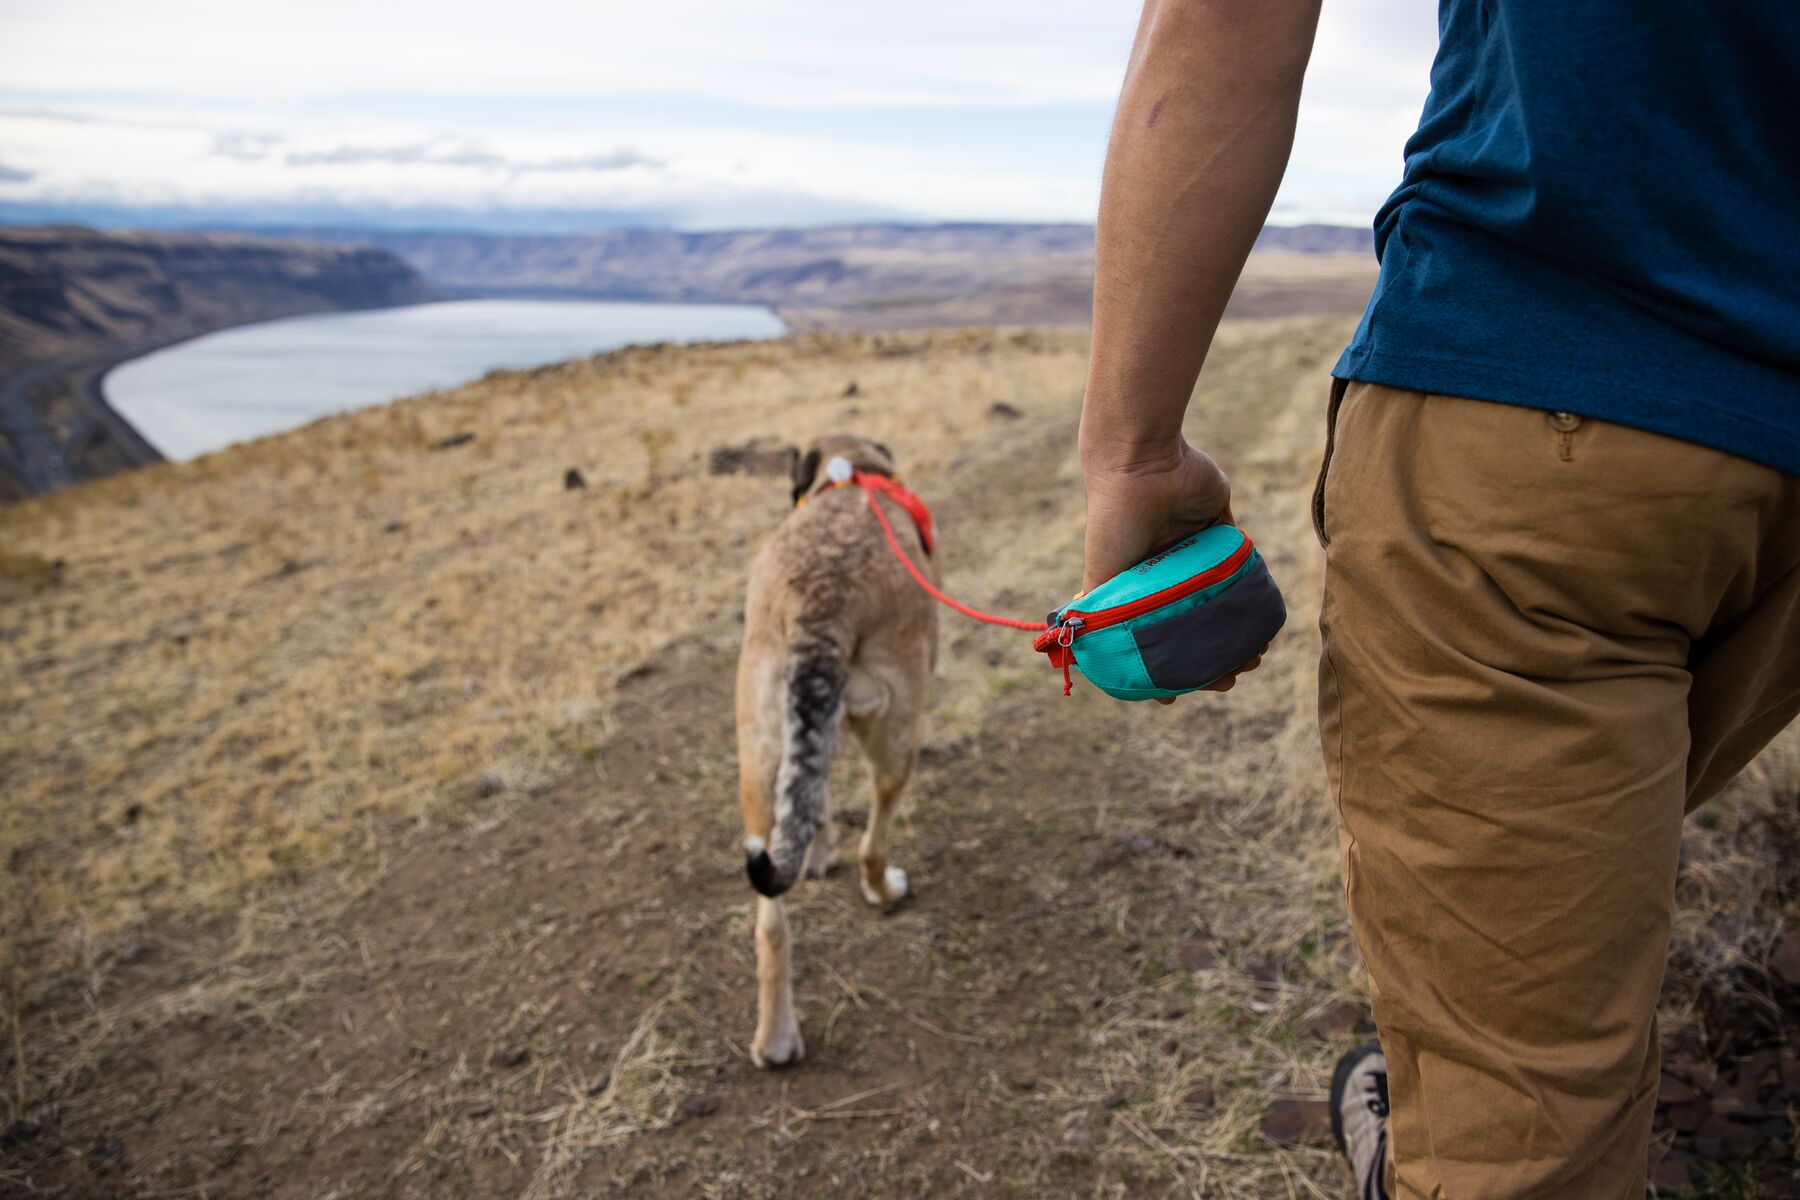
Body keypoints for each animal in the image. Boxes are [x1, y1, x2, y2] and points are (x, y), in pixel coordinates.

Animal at [738, 433, 943, 1072]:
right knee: (873, 843)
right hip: (897, 724)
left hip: (758, 746)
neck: (846, 476)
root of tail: (818, 609)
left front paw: (817, 851)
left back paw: (775, 1040)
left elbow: (814, 799)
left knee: (770, 919)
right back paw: (885, 891)